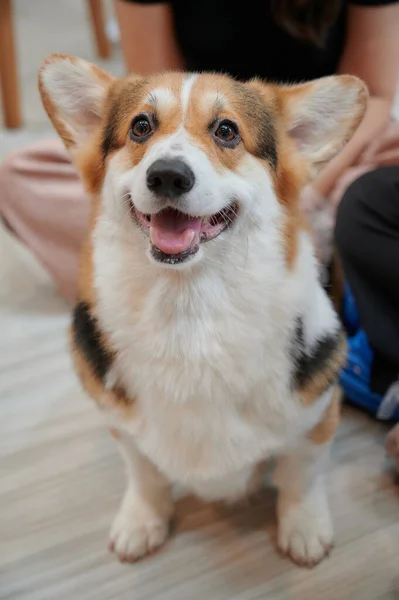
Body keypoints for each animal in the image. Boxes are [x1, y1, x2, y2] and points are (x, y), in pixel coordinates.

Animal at [39, 55, 368, 568]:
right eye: (141, 126)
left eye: (227, 131)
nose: (168, 175)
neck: (188, 312)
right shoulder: (123, 427)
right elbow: (145, 475)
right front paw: (141, 522)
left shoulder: (314, 417)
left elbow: (301, 477)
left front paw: (304, 530)